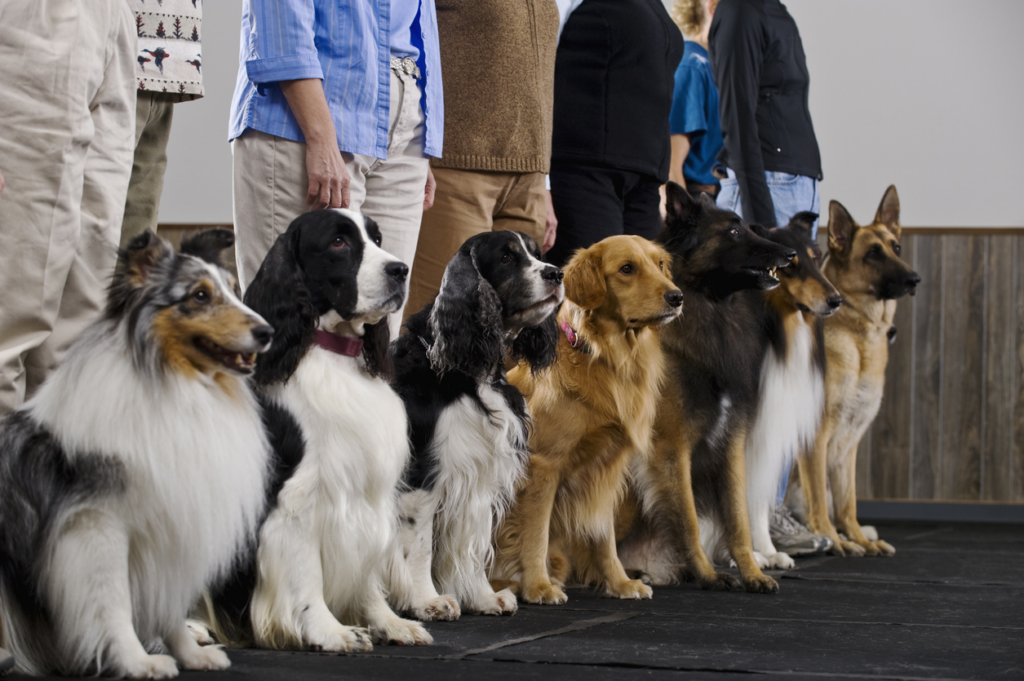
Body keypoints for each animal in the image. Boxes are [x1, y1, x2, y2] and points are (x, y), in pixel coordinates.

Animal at [614, 183, 790, 593]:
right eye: (734, 231)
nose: (790, 253)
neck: (712, 309)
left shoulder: (731, 444)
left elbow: (739, 520)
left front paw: (752, 573)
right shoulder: (671, 448)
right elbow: (689, 518)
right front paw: (708, 575)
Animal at [782, 184, 921, 552]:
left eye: (896, 247)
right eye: (872, 253)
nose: (914, 279)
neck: (858, 335)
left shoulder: (849, 443)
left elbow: (848, 500)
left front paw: (857, 537)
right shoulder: (815, 438)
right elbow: (819, 498)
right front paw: (835, 540)